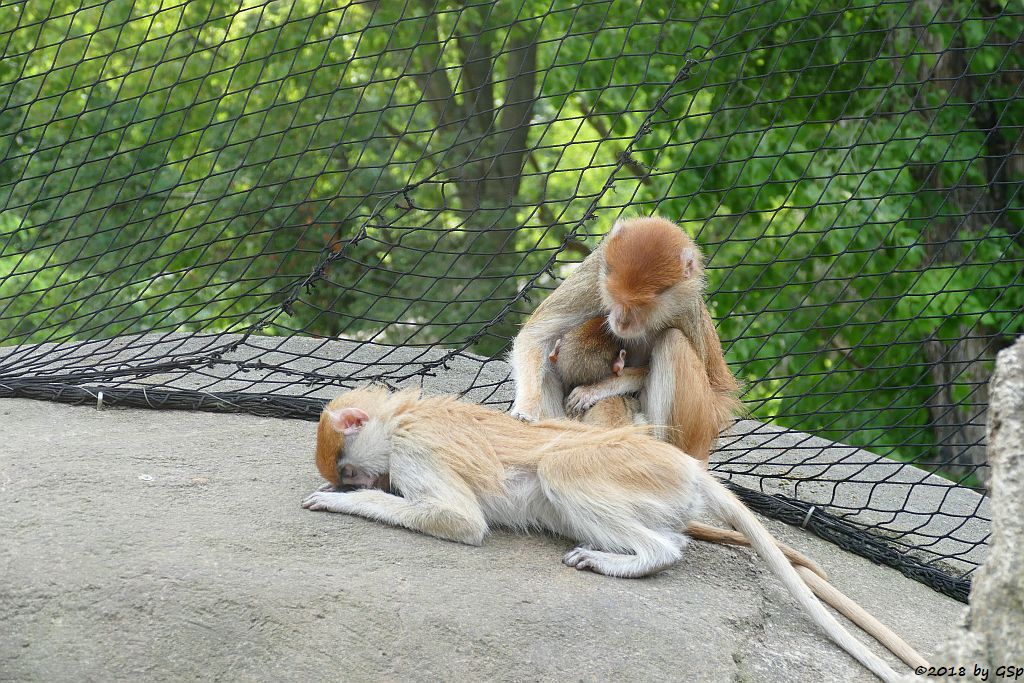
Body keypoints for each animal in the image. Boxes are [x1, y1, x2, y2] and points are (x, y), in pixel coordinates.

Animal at [509, 216, 737, 466]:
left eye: (640, 306)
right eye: (614, 295)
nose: (621, 321)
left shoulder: (685, 308)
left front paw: (596, 389)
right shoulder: (593, 275)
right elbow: (535, 335)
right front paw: (526, 410)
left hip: (701, 425)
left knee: (673, 341)